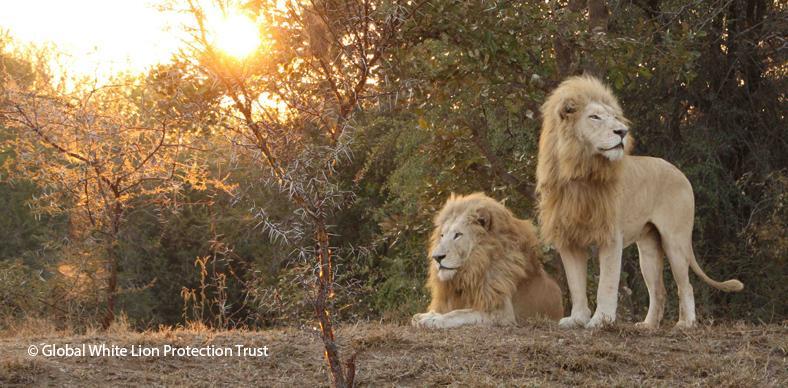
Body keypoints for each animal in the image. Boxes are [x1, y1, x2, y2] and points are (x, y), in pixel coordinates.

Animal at [410, 192, 564, 328]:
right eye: (442, 235)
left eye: (457, 235)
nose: (436, 257)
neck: (472, 269)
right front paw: (426, 315)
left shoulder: (503, 314)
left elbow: (461, 313)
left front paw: (434, 319)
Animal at [536, 74, 744, 328]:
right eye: (595, 117)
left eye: (615, 118)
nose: (622, 131)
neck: (580, 172)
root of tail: (680, 172)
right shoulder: (568, 238)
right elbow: (576, 284)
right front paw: (577, 319)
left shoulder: (611, 237)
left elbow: (606, 284)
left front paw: (600, 321)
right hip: (649, 248)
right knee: (659, 290)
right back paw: (648, 326)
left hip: (675, 240)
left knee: (686, 286)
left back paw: (685, 324)